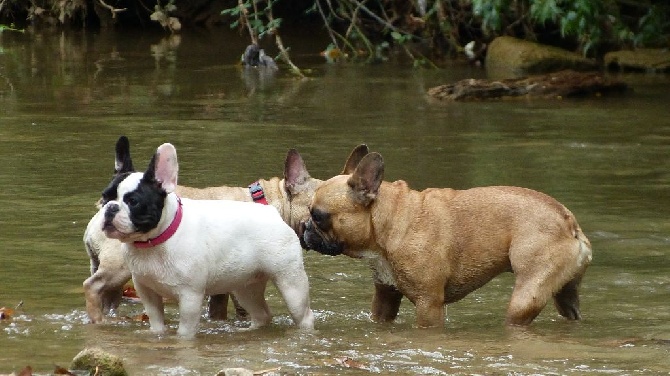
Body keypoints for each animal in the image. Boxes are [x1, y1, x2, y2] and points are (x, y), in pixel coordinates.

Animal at [304, 151, 592, 328]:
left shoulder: (428, 304)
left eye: (318, 216)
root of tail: (569, 222)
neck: (391, 223)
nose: (305, 227)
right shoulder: (385, 296)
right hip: (565, 293)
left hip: (526, 294)